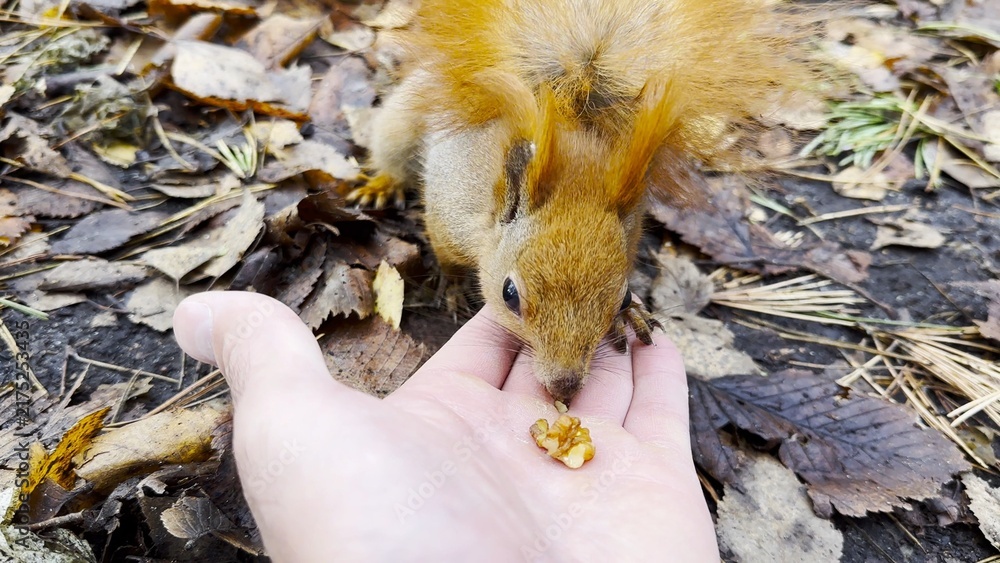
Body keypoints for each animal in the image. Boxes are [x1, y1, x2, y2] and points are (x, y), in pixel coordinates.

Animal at [347, 0, 813, 404]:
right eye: (509, 294)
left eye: (624, 296)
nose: (564, 385)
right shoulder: (448, 208)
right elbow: (445, 254)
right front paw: (453, 286)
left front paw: (632, 318)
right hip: (403, 119)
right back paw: (382, 184)